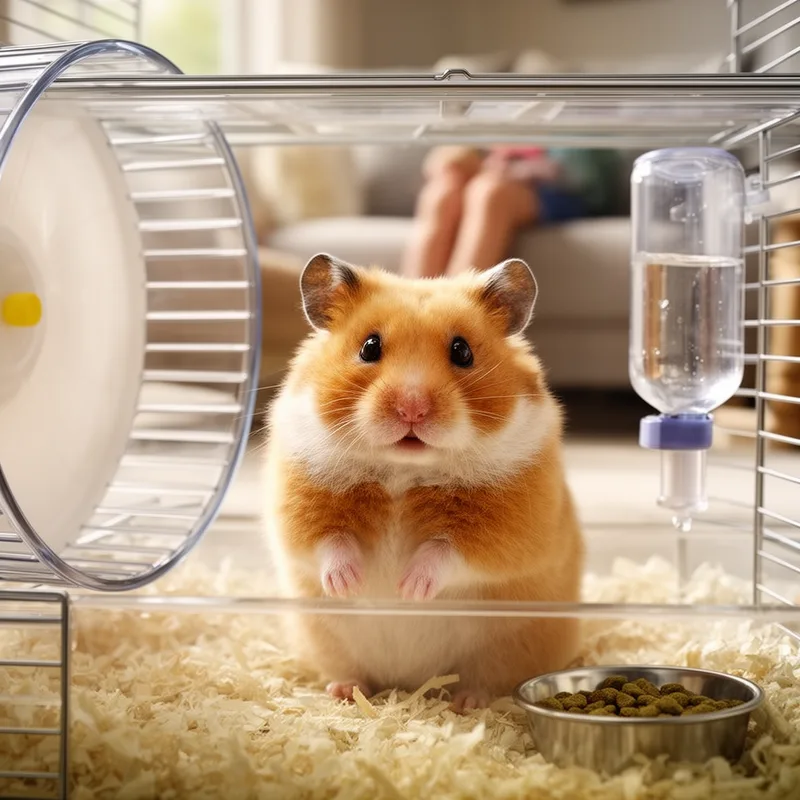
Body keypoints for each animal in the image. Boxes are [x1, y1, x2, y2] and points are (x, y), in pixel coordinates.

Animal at [262, 253, 585, 711]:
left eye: (462, 351)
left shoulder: (507, 530)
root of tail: (411, 683)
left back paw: (467, 701)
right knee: (350, 672)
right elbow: (328, 541)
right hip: (326, 641)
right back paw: (345, 693)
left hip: (510, 643)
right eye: (369, 347)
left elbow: (447, 552)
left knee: (486, 679)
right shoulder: (300, 505)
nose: (411, 408)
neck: (403, 469)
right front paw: (348, 584)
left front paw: (408, 589)